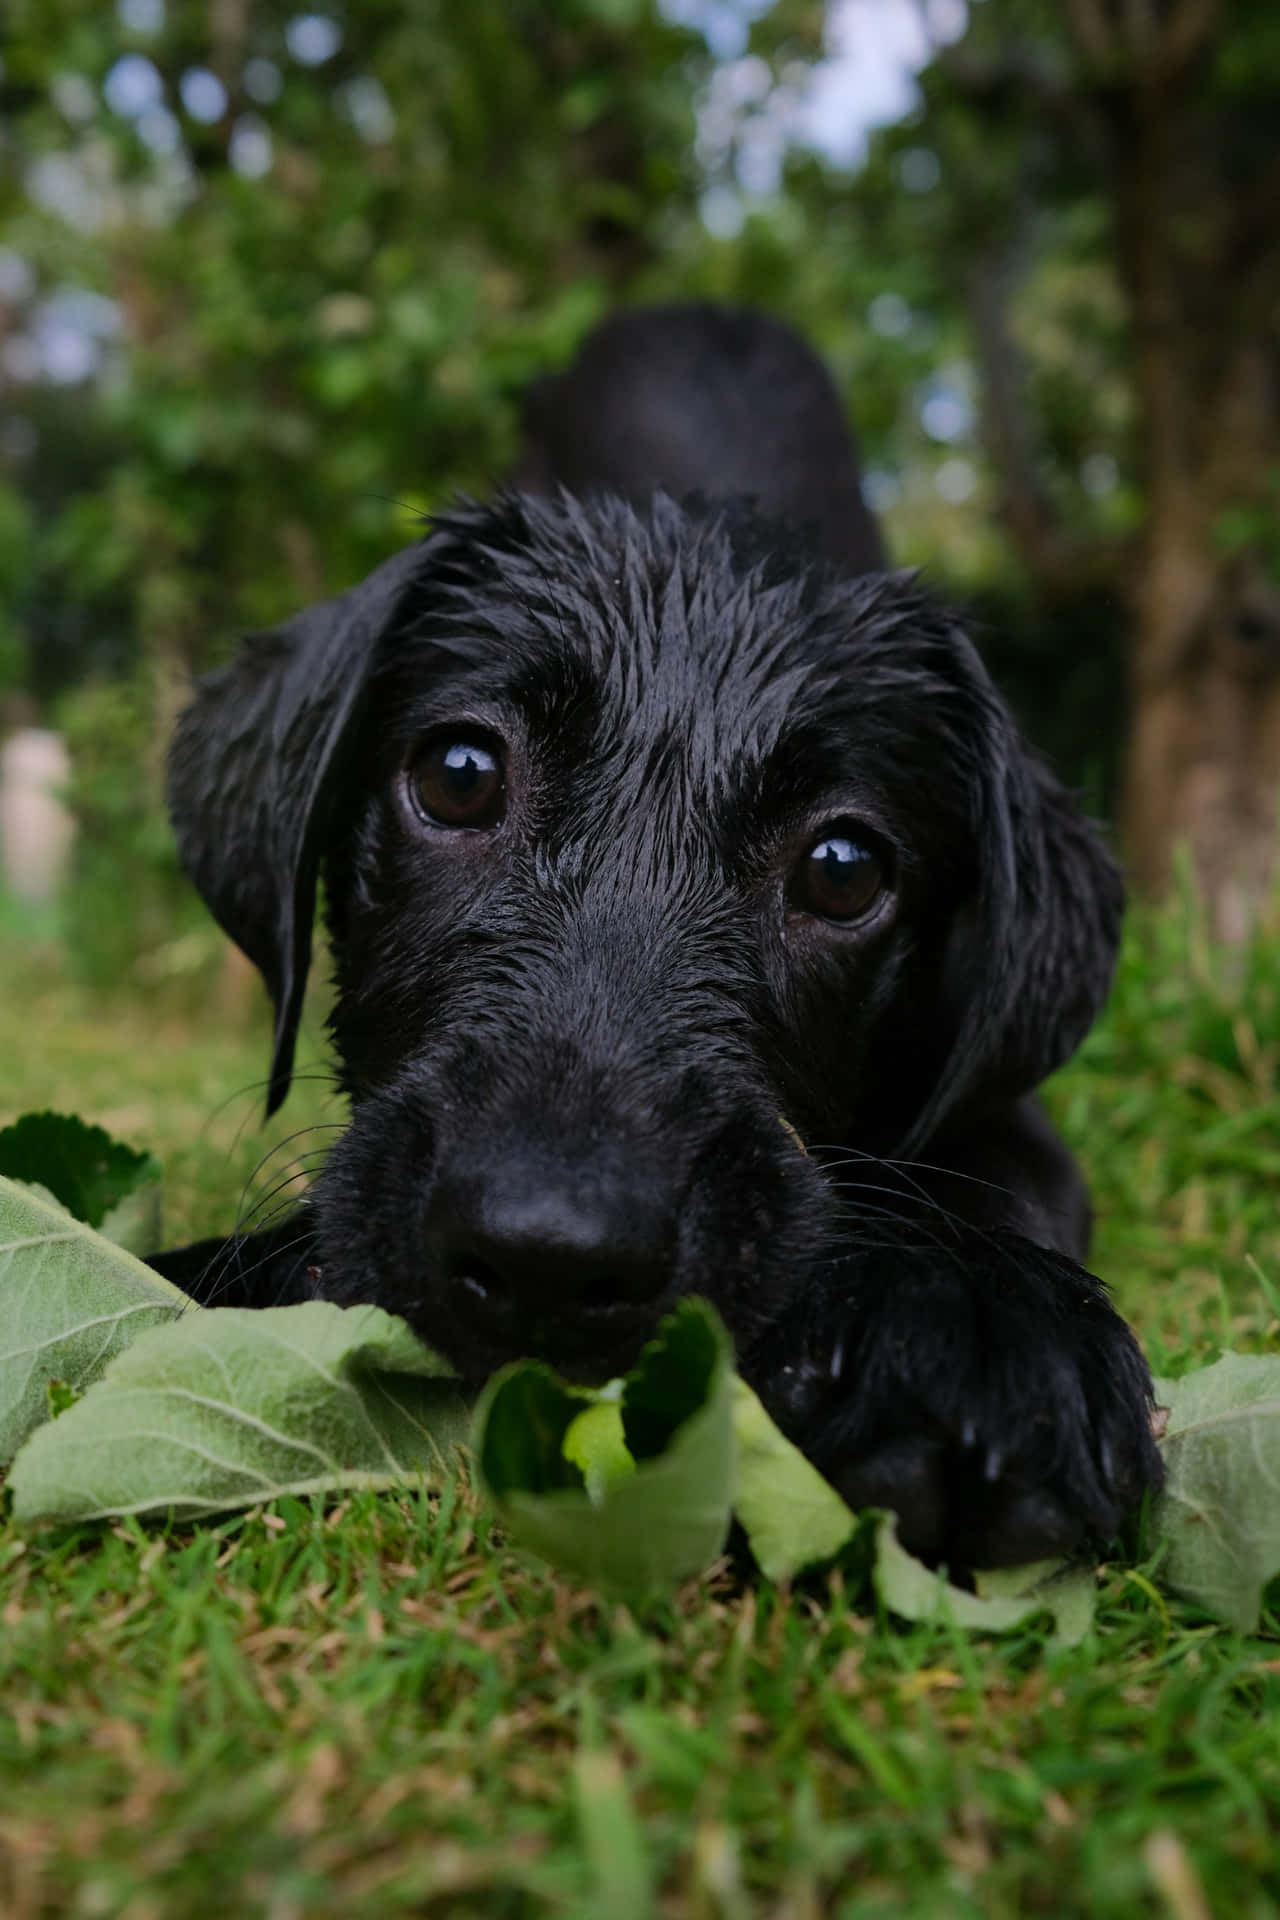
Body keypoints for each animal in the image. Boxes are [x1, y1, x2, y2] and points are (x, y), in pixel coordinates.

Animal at [155, 307, 1166, 1574]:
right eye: (457, 774)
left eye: (843, 870)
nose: (545, 1253)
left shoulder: (1012, 1122)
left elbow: (979, 1188)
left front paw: (973, 1329)